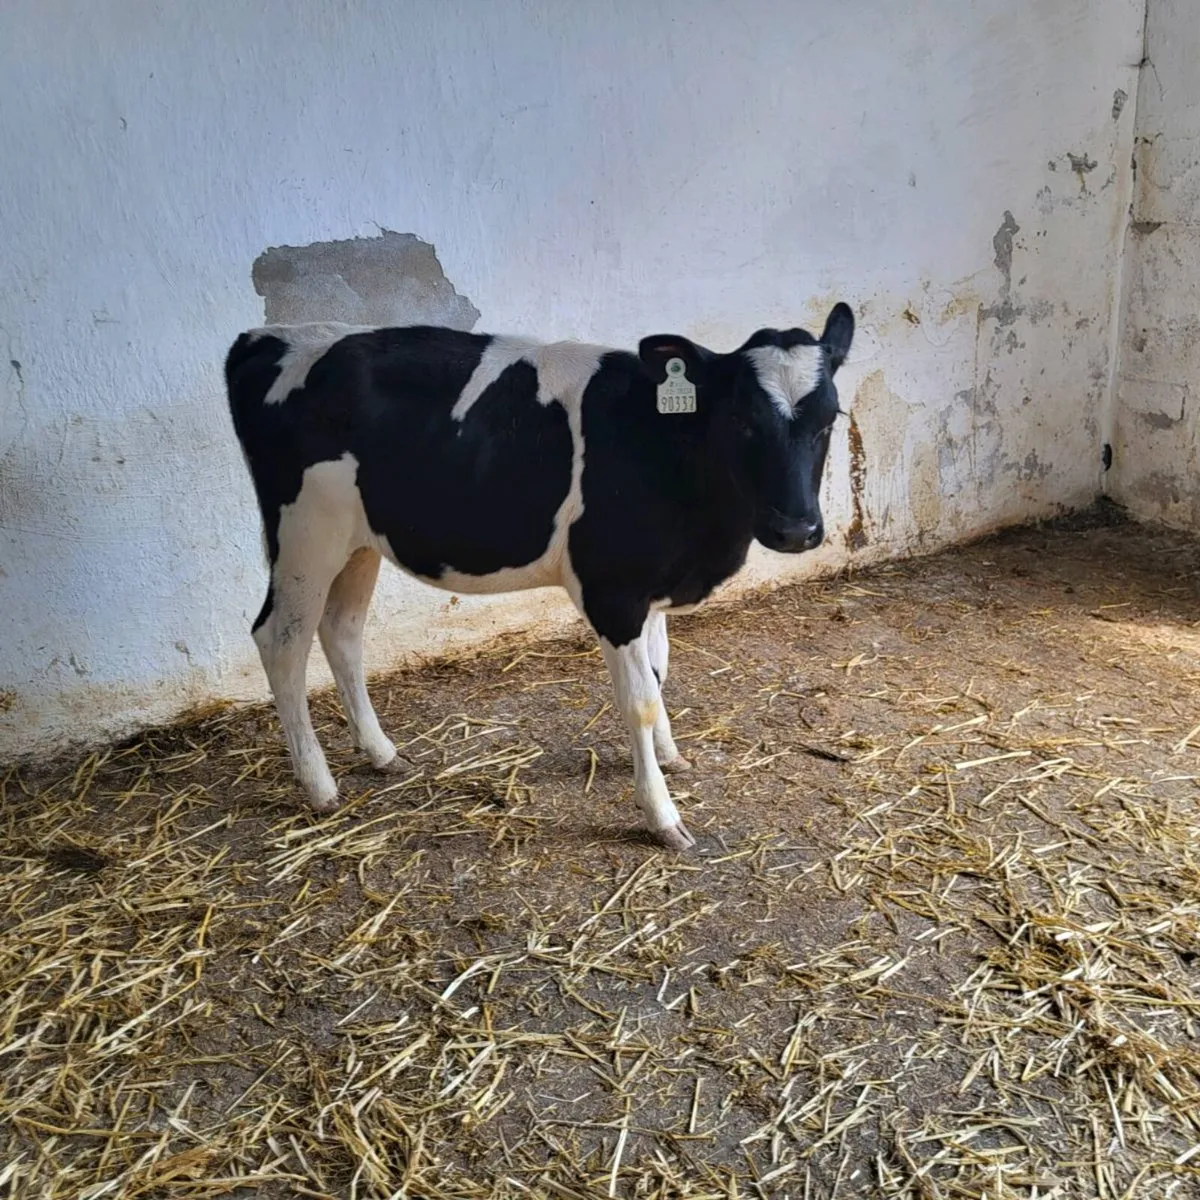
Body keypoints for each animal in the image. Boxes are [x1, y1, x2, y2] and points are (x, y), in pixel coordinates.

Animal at [224, 303, 854, 850]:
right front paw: (661, 815)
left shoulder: (652, 587)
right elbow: (639, 700)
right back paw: (319, 785)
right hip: (305, 533)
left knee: (343, 631)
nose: (796, 529)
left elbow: (659, 674)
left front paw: (669, 754)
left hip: (358, 542)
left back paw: (382, 753)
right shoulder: (613, 591)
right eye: (741, 419)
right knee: (281, 641)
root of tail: (265, 336)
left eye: (831, 418)